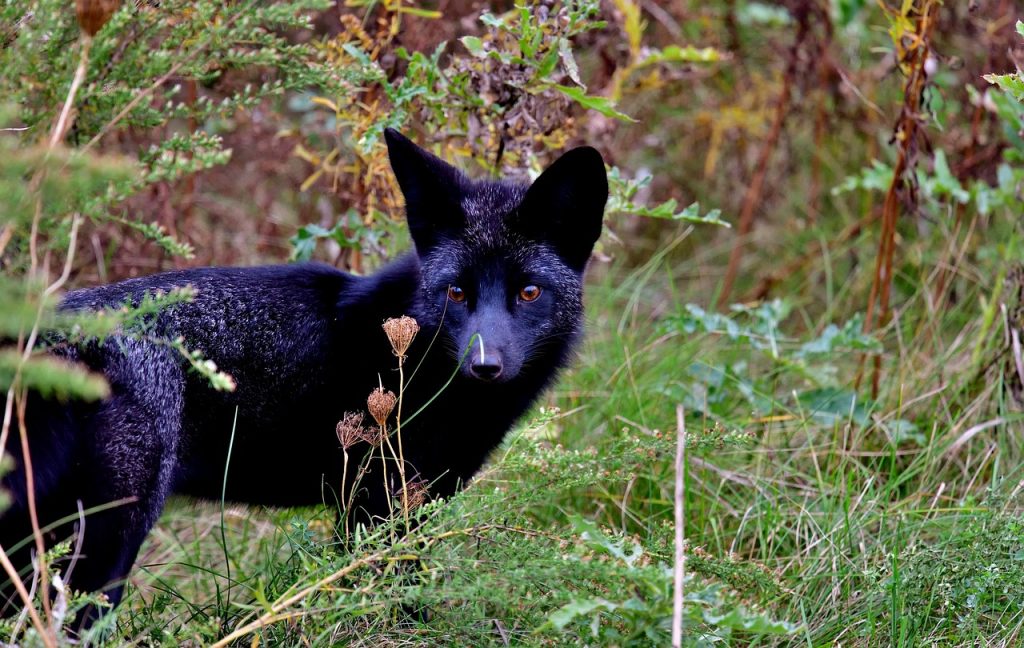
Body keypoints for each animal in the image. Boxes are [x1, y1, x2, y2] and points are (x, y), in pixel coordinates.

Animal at [0, 128, 608, 625]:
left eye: (528, 292)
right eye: (457, 292)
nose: (485, 366)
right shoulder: (377, 502)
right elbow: (393, 601)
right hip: (109, 537)